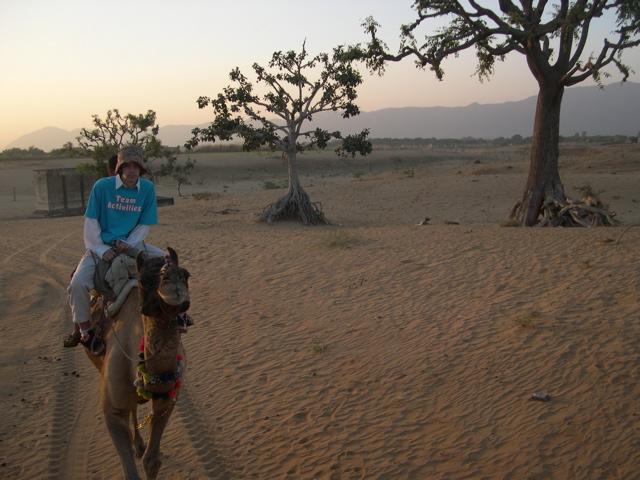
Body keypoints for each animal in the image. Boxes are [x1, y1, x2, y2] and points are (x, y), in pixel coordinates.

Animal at [82, 246, 190, 478]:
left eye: (186, 275)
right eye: (144, 280)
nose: (174, 280)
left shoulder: (167, 400)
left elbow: (152, 461)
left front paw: (146, 453)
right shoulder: (112, 413)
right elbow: (130, 473)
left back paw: (139, 445)